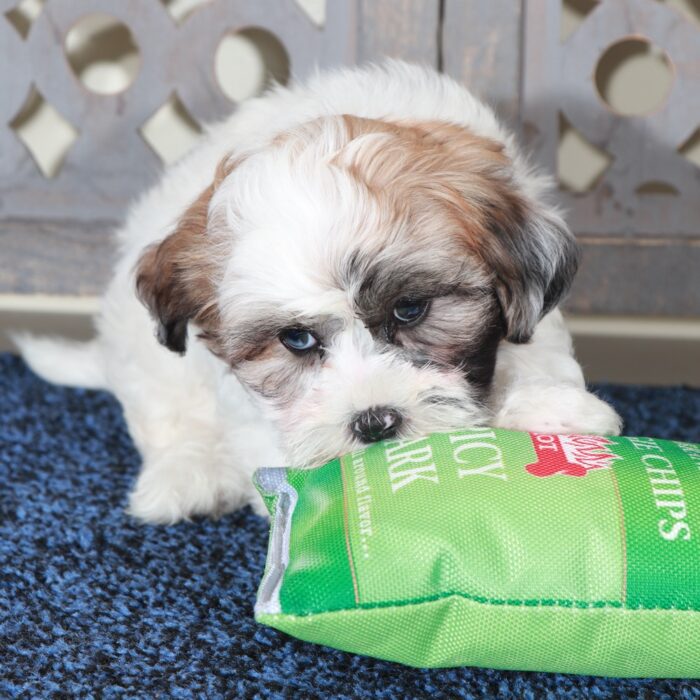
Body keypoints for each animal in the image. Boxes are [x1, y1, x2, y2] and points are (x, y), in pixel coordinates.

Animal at [16, 60, 620, 524]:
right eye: (297, 340)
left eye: (410, 310)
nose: (374, 423)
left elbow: (535, 349)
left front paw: (555, 412)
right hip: (141, 346)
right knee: (167, 411)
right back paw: (185, 474)